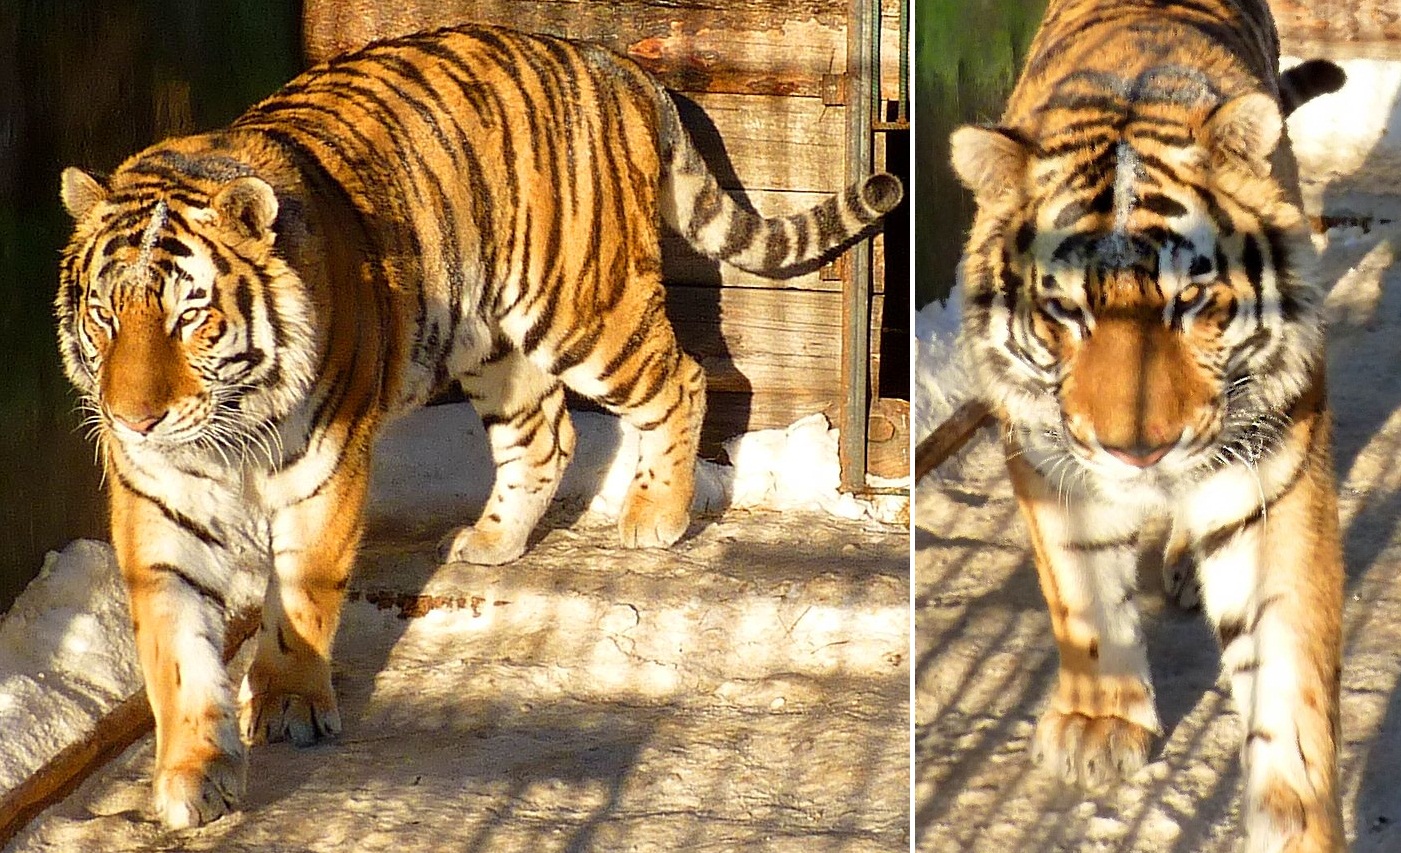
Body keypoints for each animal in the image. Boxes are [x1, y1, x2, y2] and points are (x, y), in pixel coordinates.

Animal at [56, 24, 902, 829]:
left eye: (188, 317)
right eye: (105, 315)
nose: (134, 418)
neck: (228, 427)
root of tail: (611, 63)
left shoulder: (323, 470)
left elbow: (300, 597)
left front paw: (290, 700)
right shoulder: (161, 497)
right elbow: (176, 645)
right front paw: (193, 773)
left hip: (583, 311)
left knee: (682, 377)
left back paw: (653, 517)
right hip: (492, 340)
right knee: (547, 433)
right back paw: (491, 541)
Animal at [949, 1, 1345, 850]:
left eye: (1190, 301)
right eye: (1064, 308)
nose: (1138, 452)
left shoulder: (1269, 476)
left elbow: (1286, 673)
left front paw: (1293, 818)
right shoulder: (1048, 459)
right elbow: (1083, 591)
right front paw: (1099, 726)